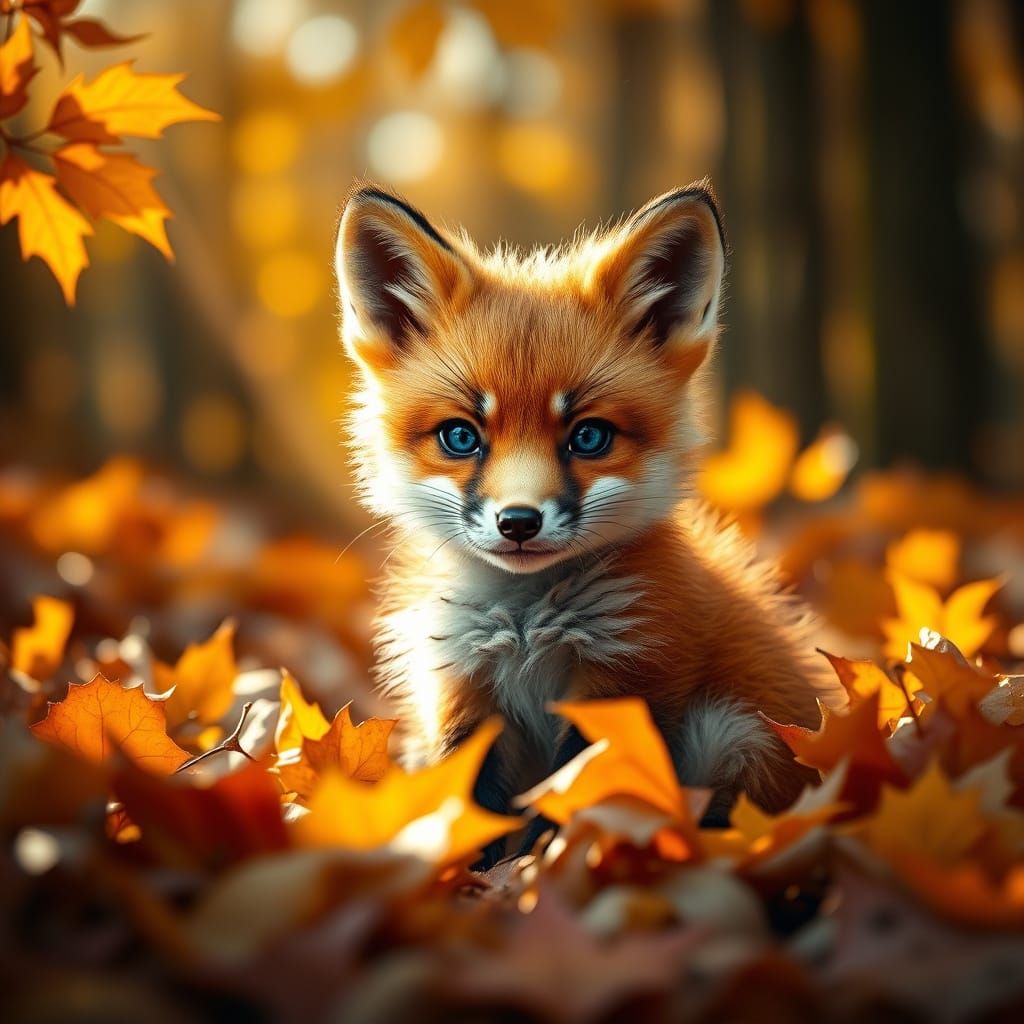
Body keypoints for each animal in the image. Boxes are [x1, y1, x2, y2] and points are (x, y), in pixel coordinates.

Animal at [334, 181, 830, 857]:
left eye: (589, 437)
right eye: (461, 437)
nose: (518, 522)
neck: (524, 626)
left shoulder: (626, 678)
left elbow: (570, 804)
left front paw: (544, 868)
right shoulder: (463, 693)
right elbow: (471, 814)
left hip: (733, 733)